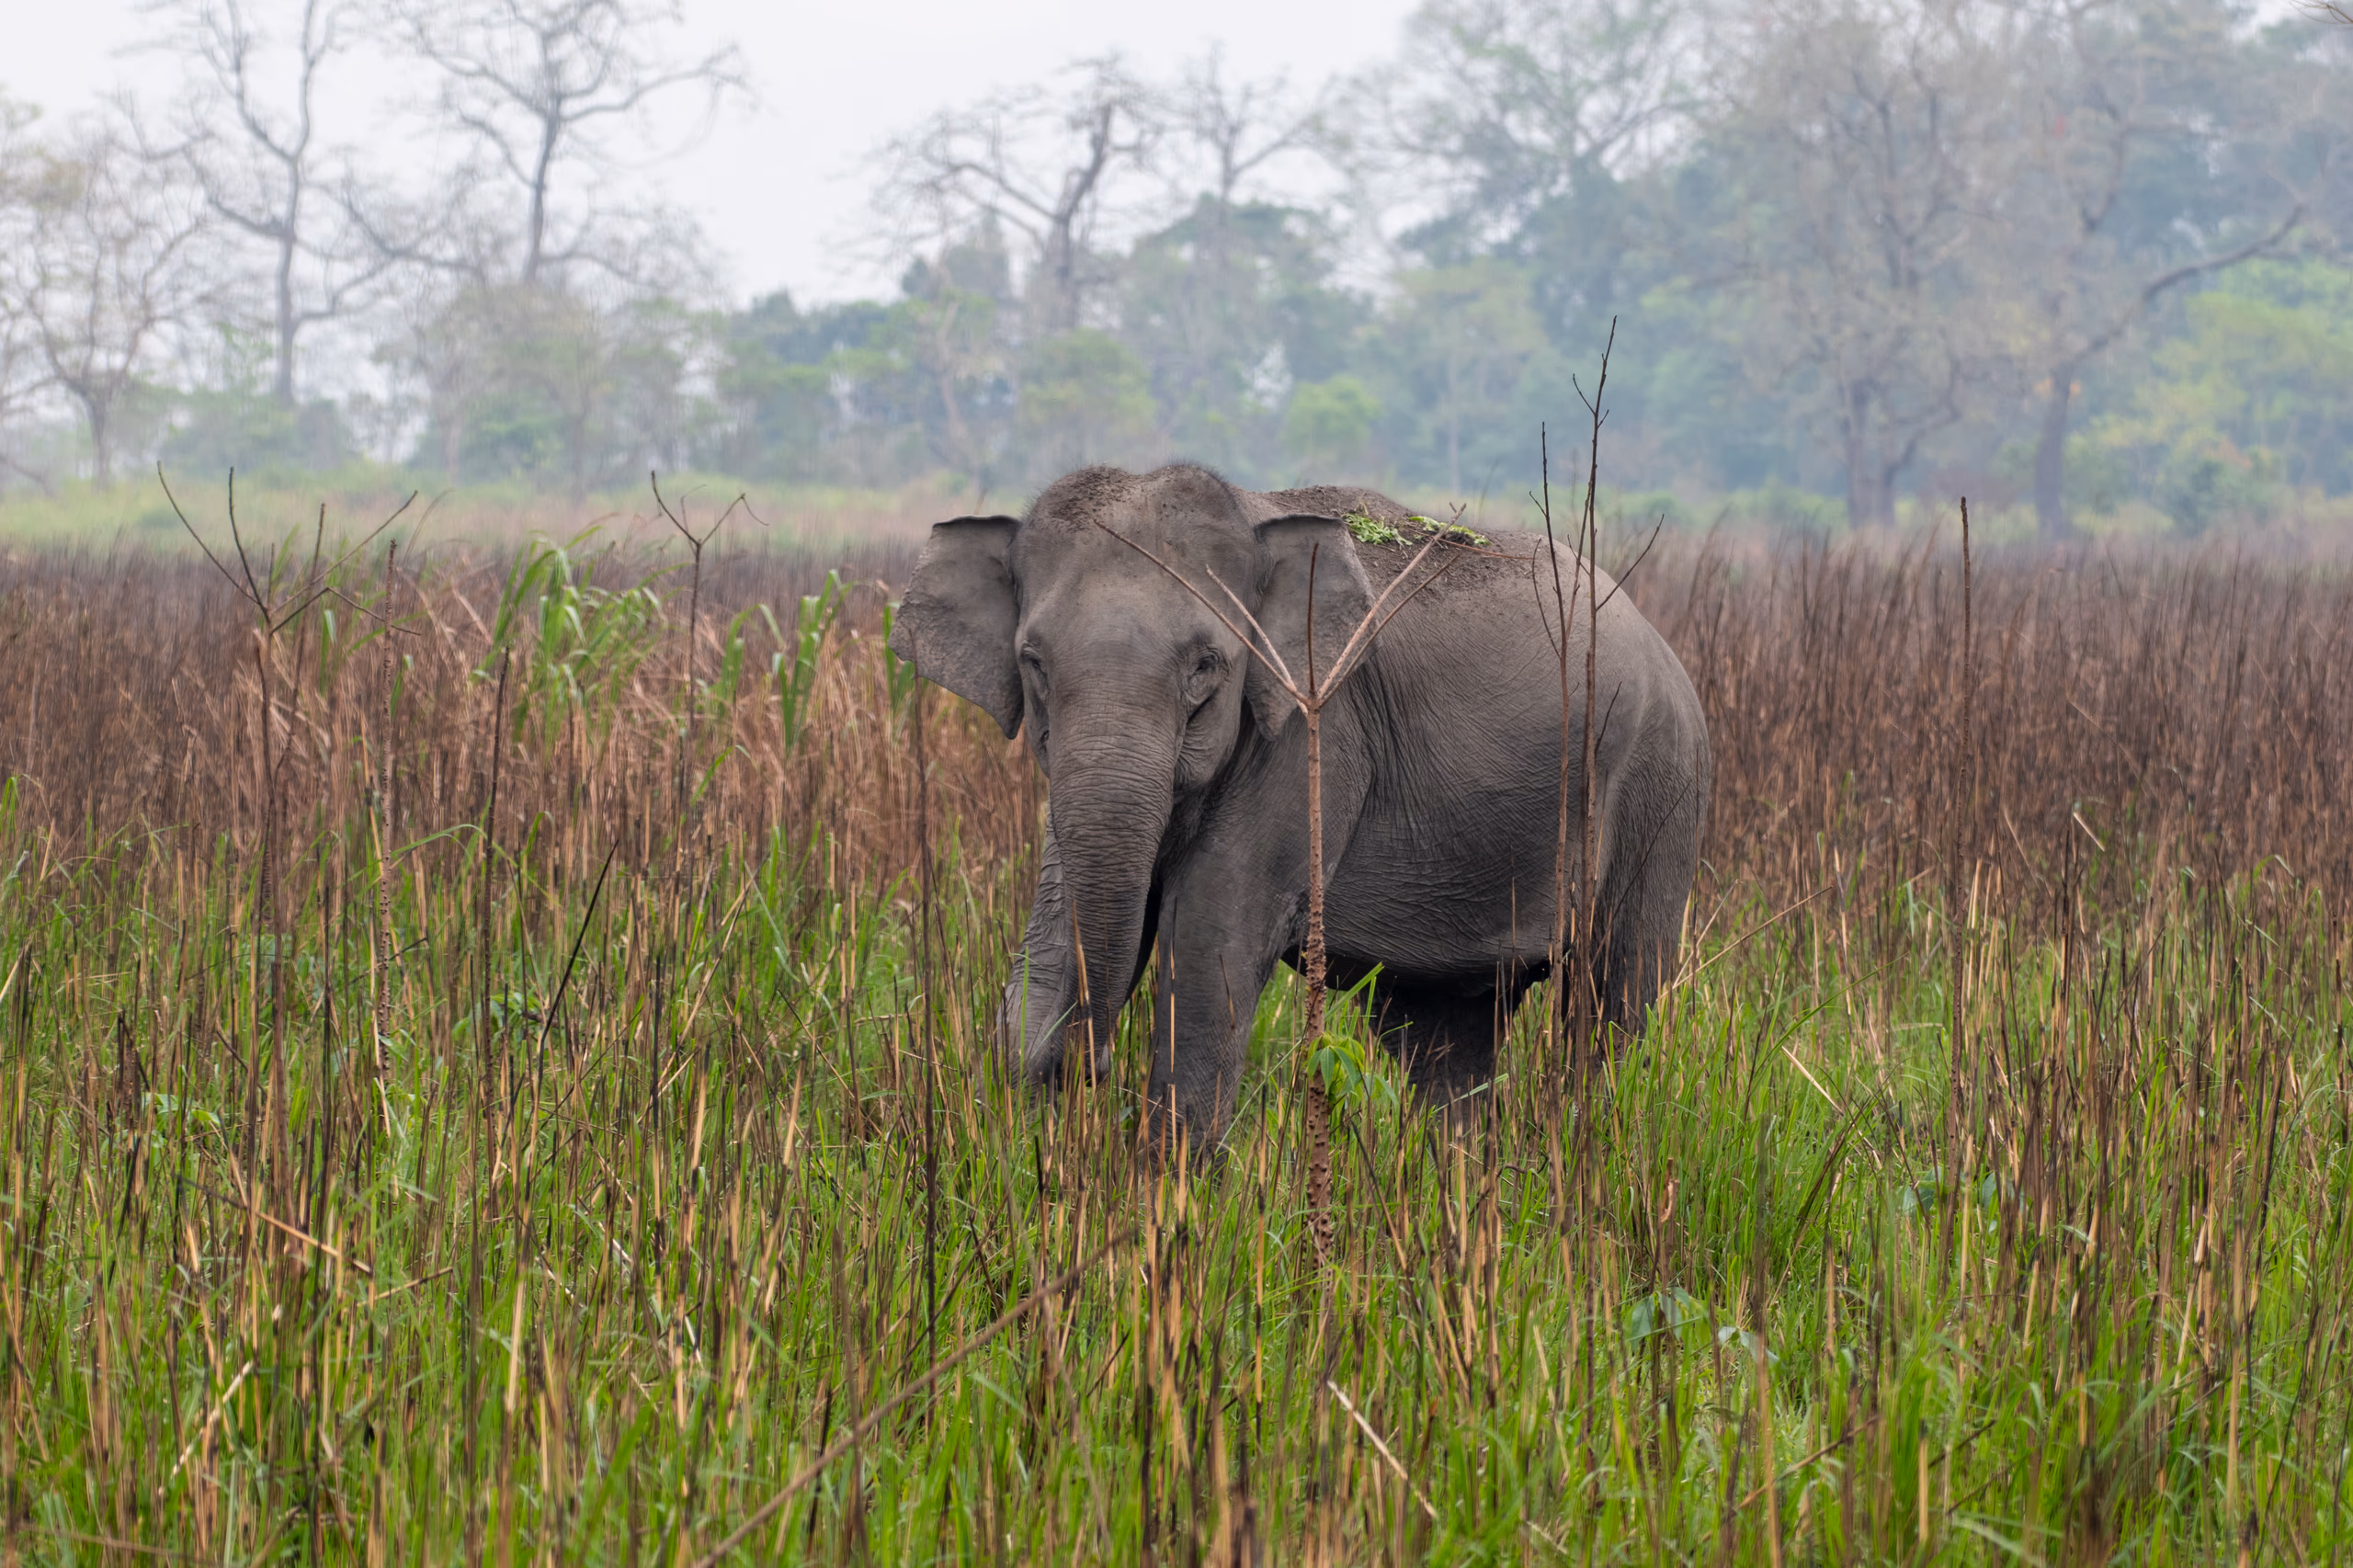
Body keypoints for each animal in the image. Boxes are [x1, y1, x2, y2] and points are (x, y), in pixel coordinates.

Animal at [889, 463, 1710, 1151]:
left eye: (1206, 667)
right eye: (1032, 662)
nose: (1086, 1072)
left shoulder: (1313, 730)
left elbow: (1211, 937)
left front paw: (1173, 1199)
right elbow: (1059, 926)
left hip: (1661, 787)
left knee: (1609, 999)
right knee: (1448, 1032)